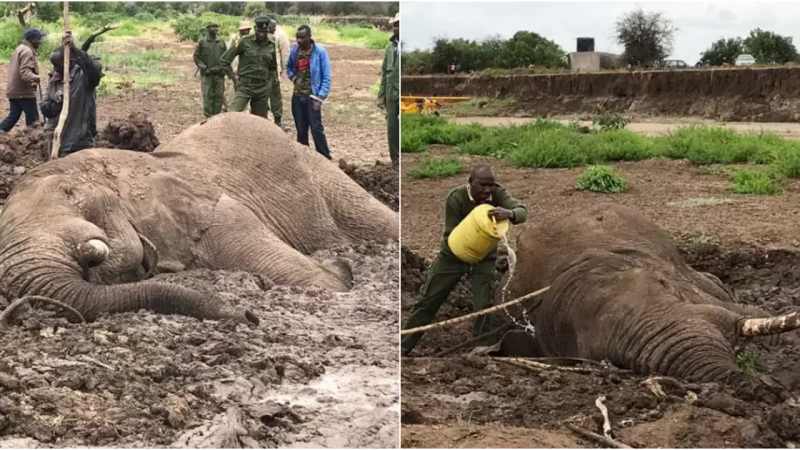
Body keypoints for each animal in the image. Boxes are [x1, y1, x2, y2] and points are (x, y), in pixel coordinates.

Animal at [0, 112, 400, 324]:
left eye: (74, 198)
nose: (249, 315)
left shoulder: (216, 213)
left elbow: (310, 279)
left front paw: (341, 275)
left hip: (323, 173)